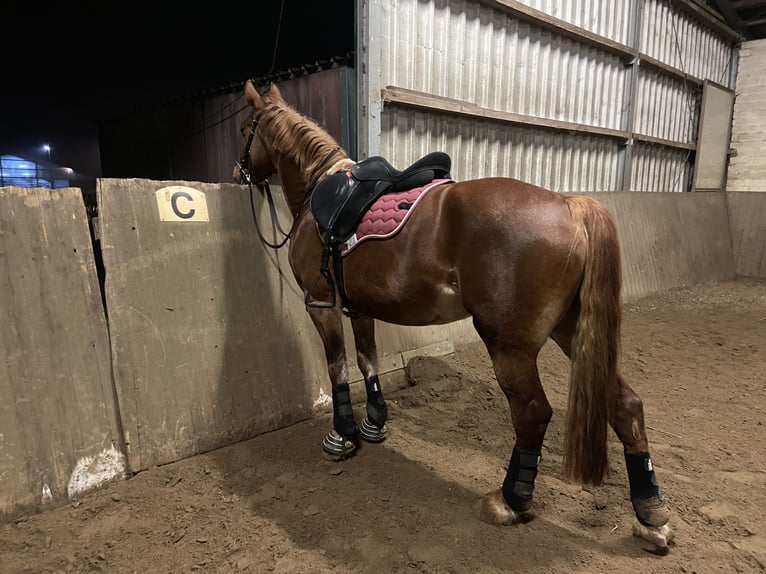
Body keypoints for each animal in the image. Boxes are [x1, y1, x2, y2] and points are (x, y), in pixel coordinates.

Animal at [233, 80, 673, 553]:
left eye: (244, 128)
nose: (239, 172)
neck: (324, 194)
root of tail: (568, 205)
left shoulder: (321, 304)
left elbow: (337, 367)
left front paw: (342, 435)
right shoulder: (359, 307)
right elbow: (368, 361)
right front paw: (373, 424)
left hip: (511, 346)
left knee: (533, 414)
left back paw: (511, 499)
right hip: (574, 331)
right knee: (625, 404)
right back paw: (651, 514)